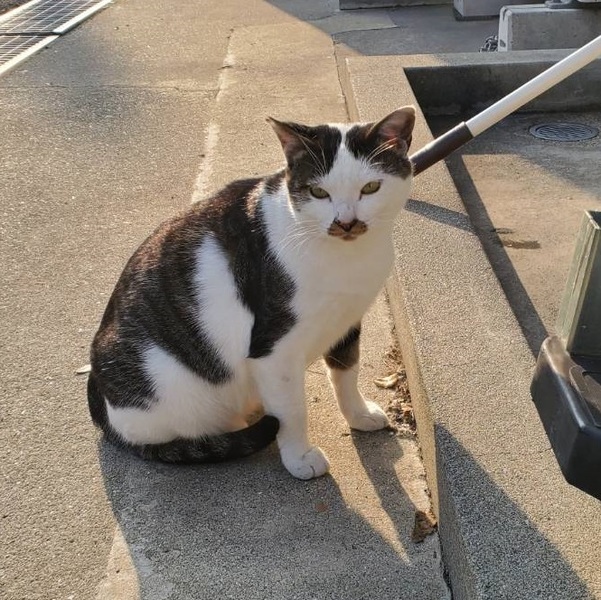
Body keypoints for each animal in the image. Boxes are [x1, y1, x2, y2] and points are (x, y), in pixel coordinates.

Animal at [87, 105, 415, 480]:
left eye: (371, 187)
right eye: (319, 193)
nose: (346, 223)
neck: (345, 258)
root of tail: (99, 398)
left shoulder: (346, 320)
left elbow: (346, 372)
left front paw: (358, 415)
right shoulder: (273, 349)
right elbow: (292, 411)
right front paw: (299, 457)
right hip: (164, 382)